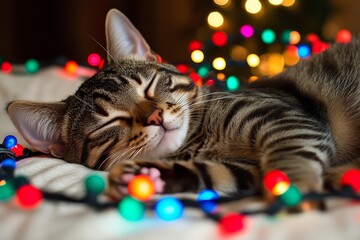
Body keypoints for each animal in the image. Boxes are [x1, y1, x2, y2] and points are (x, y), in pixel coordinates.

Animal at [6, 8, 360, 199]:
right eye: (111, 121)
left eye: (148, 86)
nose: (156, 116)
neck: (202, 141)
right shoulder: (242, 168)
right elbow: (213, 174)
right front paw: (146, 176)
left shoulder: (282, 116)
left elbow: (289, 158)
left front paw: (296, 191)